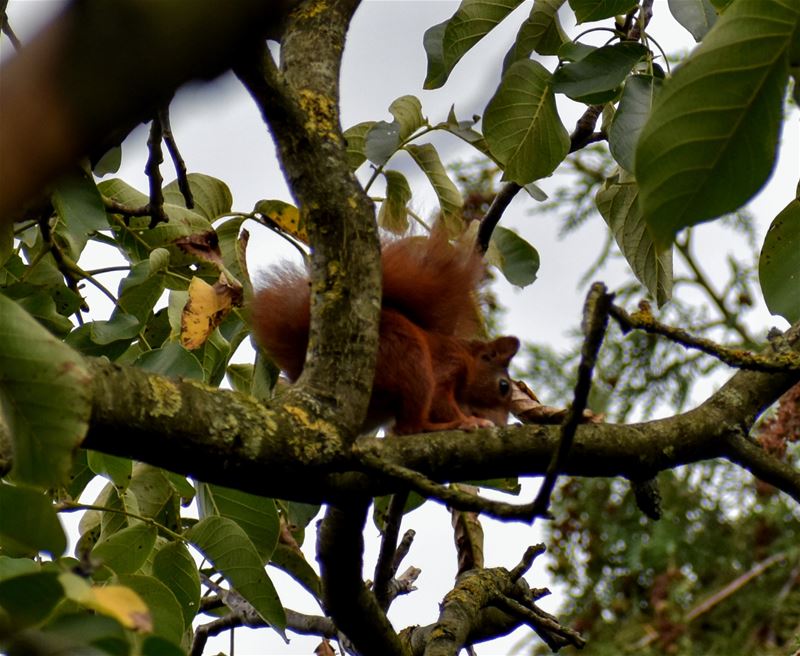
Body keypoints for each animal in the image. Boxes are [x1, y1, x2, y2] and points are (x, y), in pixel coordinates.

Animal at [253, 232, 520, 436]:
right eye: (504, 386)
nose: (500, 424)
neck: (468, 358)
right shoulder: (448, 364)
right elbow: (439, 397)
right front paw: (468, 421)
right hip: (409, 359)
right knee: (410, 426)